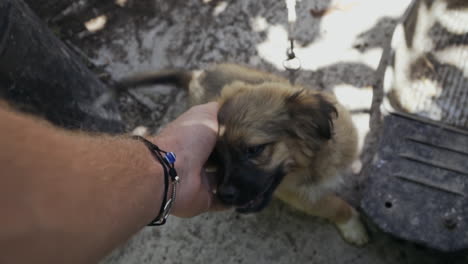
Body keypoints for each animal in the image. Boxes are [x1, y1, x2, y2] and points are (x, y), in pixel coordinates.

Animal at [118, 63, 370, 245]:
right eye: (217, 155)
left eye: (254, 150)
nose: (223, 195)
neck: (313, 164)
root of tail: (197, 76)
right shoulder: (300, 196)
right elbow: (334, 205)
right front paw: (353, 226)